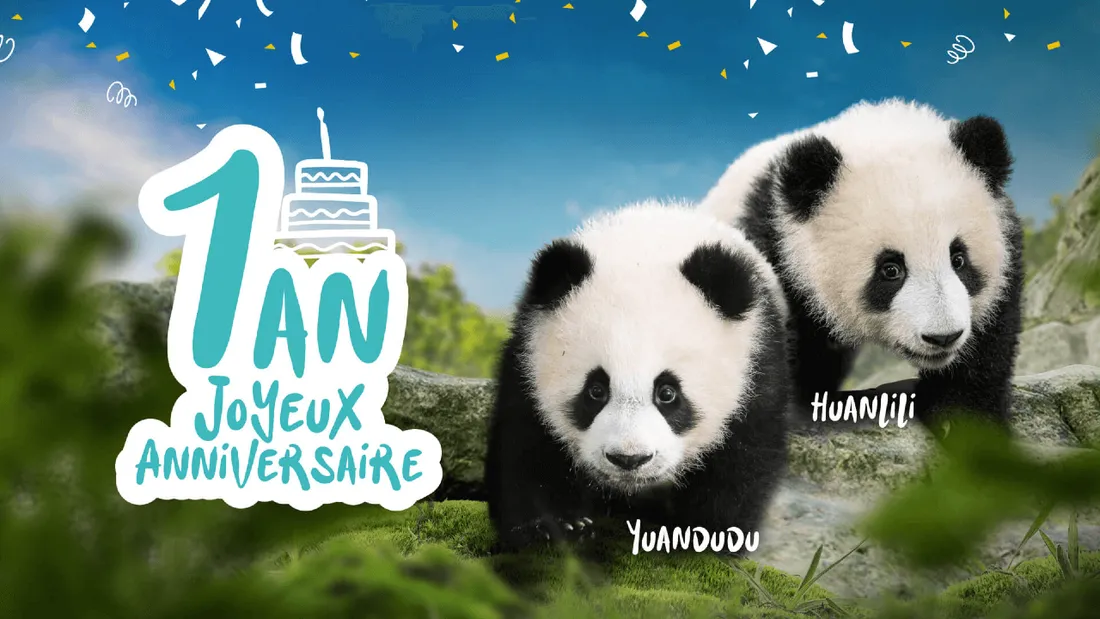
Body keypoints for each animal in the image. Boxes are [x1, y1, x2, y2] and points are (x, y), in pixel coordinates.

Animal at [485, 199, 791, 553]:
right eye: (596, 390)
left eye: (668, 393)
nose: (629, 459)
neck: (644, 246)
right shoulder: (527, 360)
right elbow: (529, 447)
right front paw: (556, 526)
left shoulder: (757, 365)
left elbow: (743, 457)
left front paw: (698, 535)